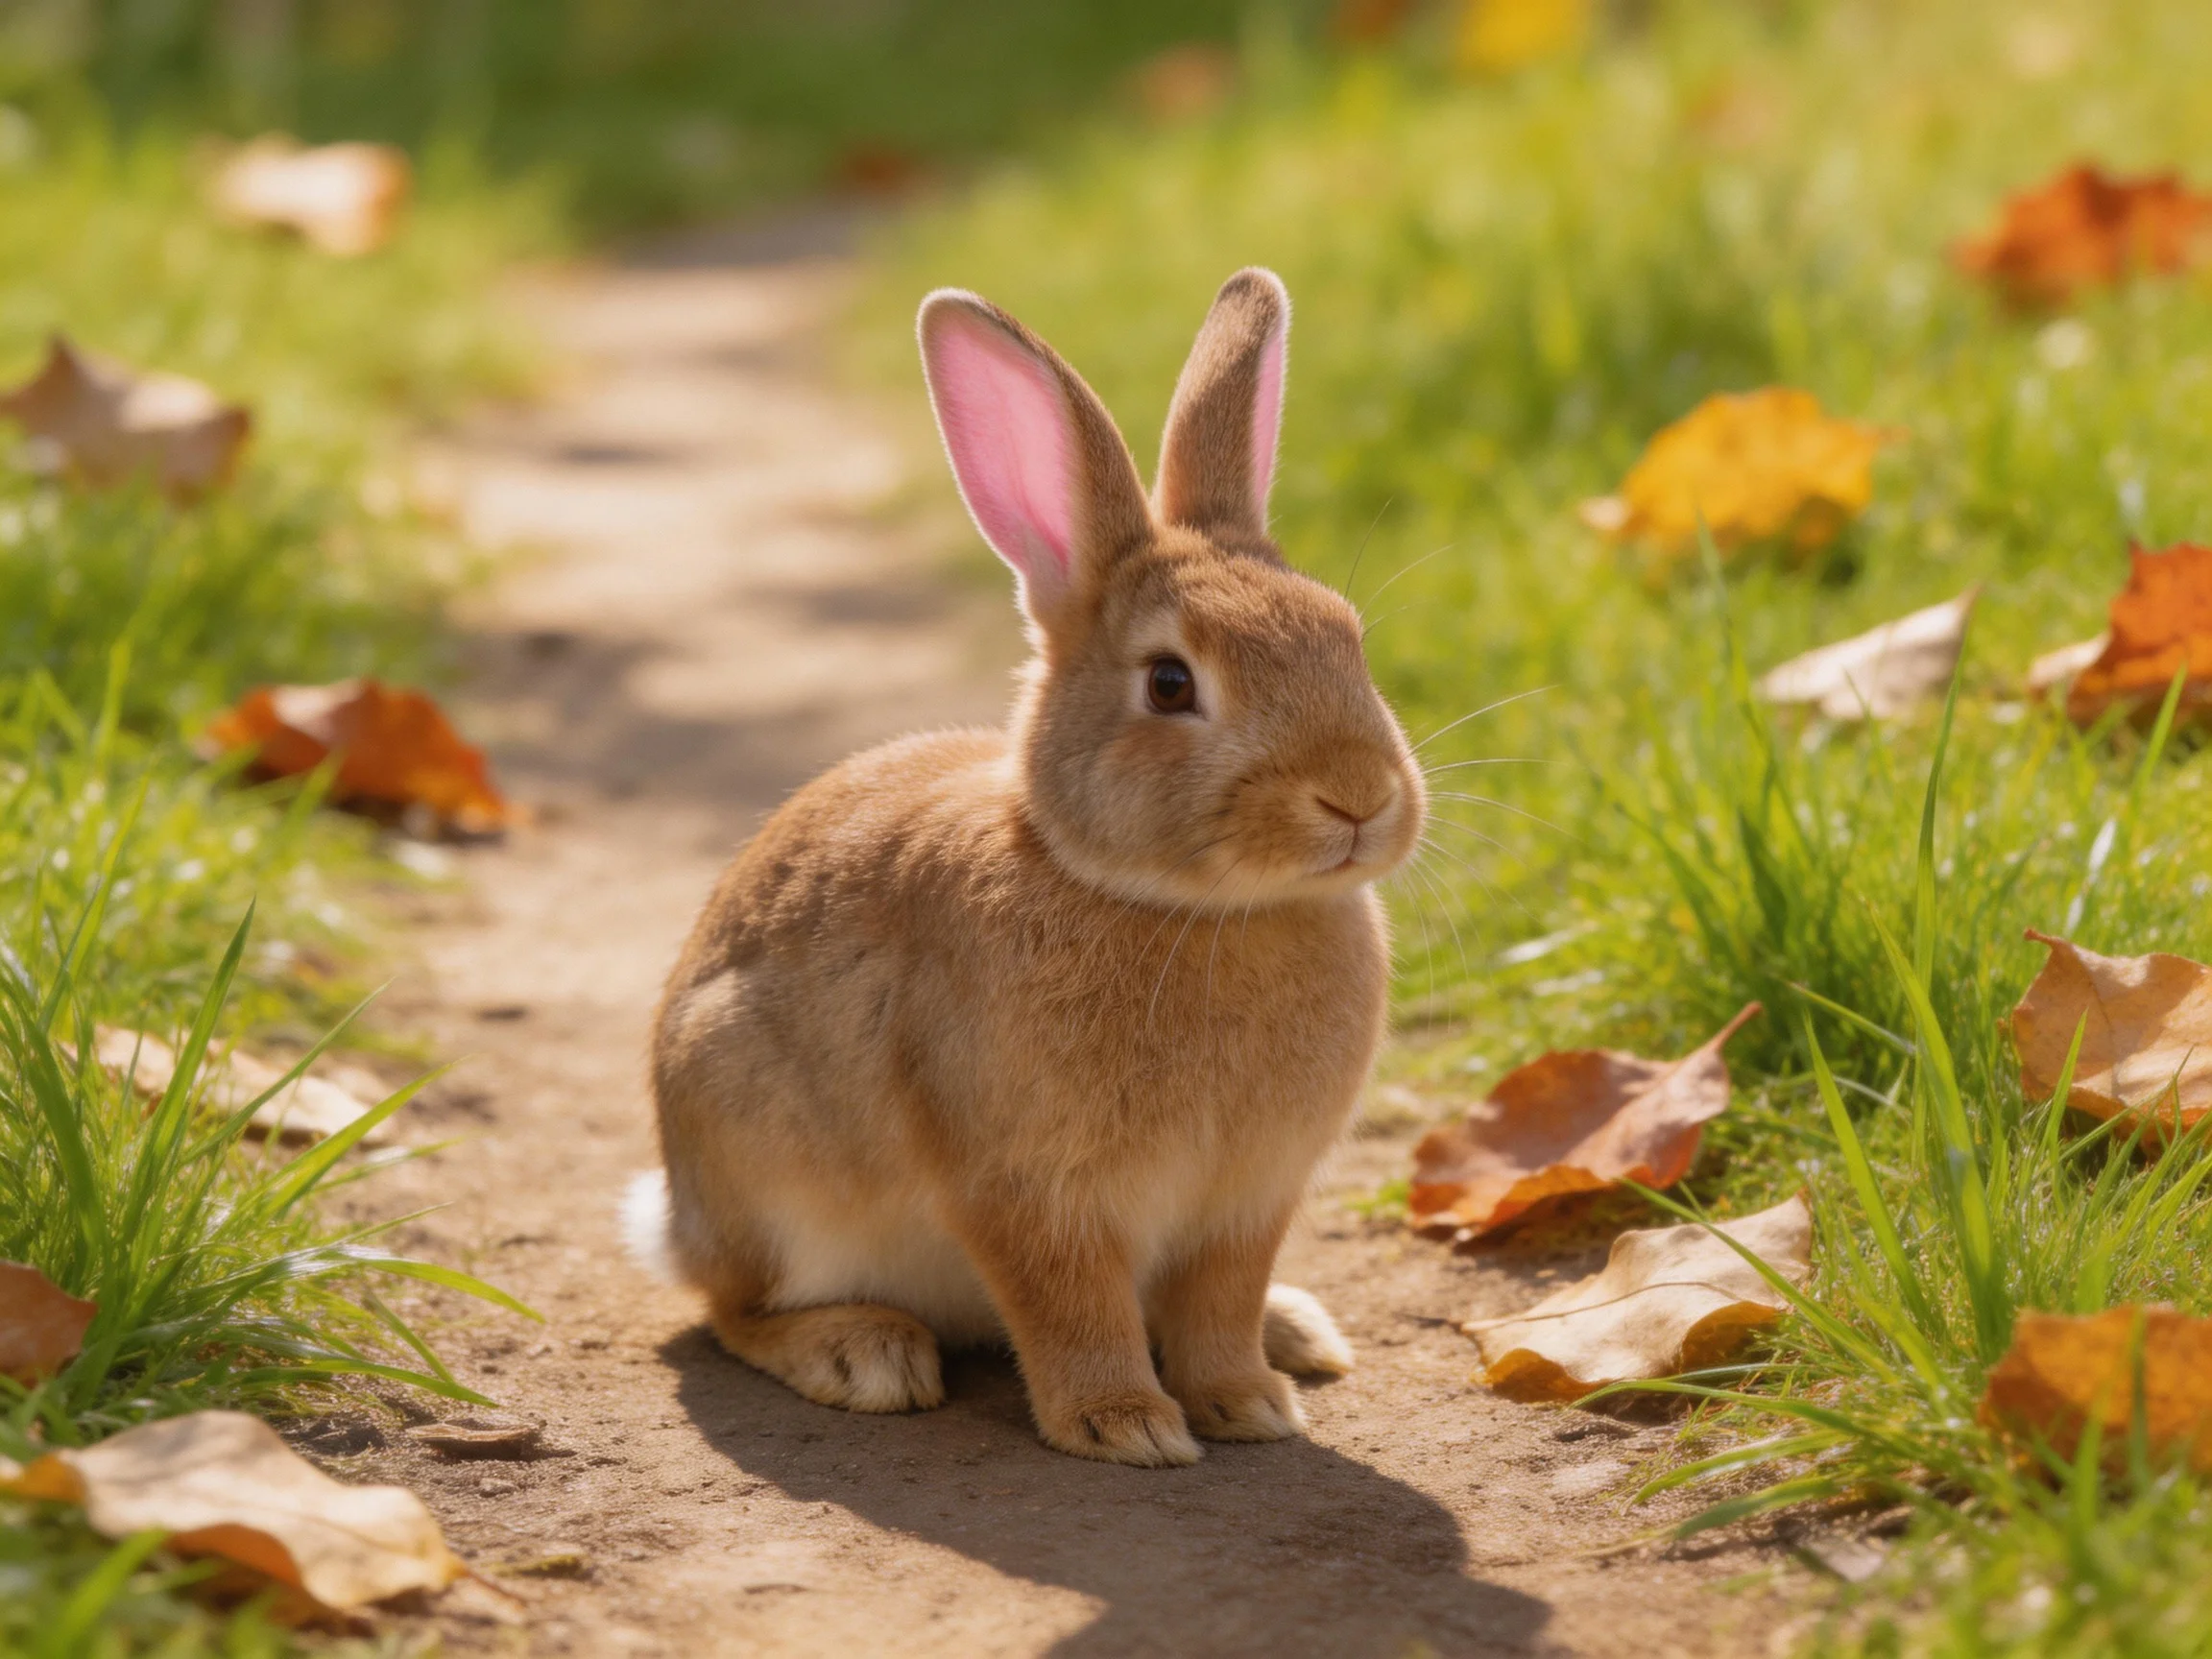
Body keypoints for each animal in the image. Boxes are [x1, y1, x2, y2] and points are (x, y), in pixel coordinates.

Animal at [634, 268, 1424, 1466]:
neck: (1184, 906)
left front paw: (1249, 1404)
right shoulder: (1028, 1192)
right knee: (733, 1310)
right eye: (1170, 684)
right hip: (753, 1159)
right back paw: (861, 1353)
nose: (1359, 797)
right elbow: (1070, 1305)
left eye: (1347, 637)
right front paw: (1126, 1426)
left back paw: (1297, 1334)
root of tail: (673, 1217)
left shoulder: (1247, 1202)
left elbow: (1221, 1302)